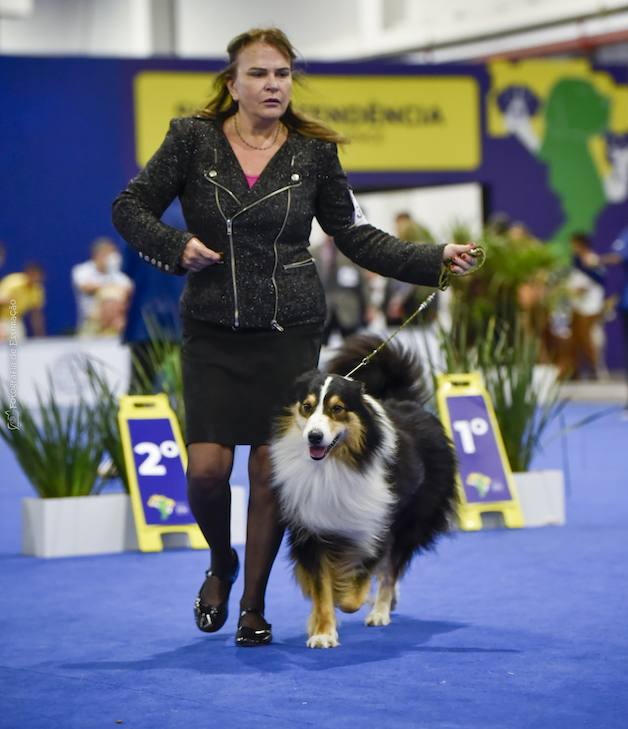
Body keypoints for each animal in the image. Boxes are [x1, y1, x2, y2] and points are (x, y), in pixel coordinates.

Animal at [269, 335, 458, 648]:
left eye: (337, 408)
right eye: (307, 406)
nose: (314, 437)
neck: (333, 466)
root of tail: (406, 403)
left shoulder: (374, 527)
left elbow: (351, 592)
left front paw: (343, 601)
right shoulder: (310, 529)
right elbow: (321, 588)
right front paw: (322, 631)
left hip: (409, 522)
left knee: (390, 570)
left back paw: (380, 611)